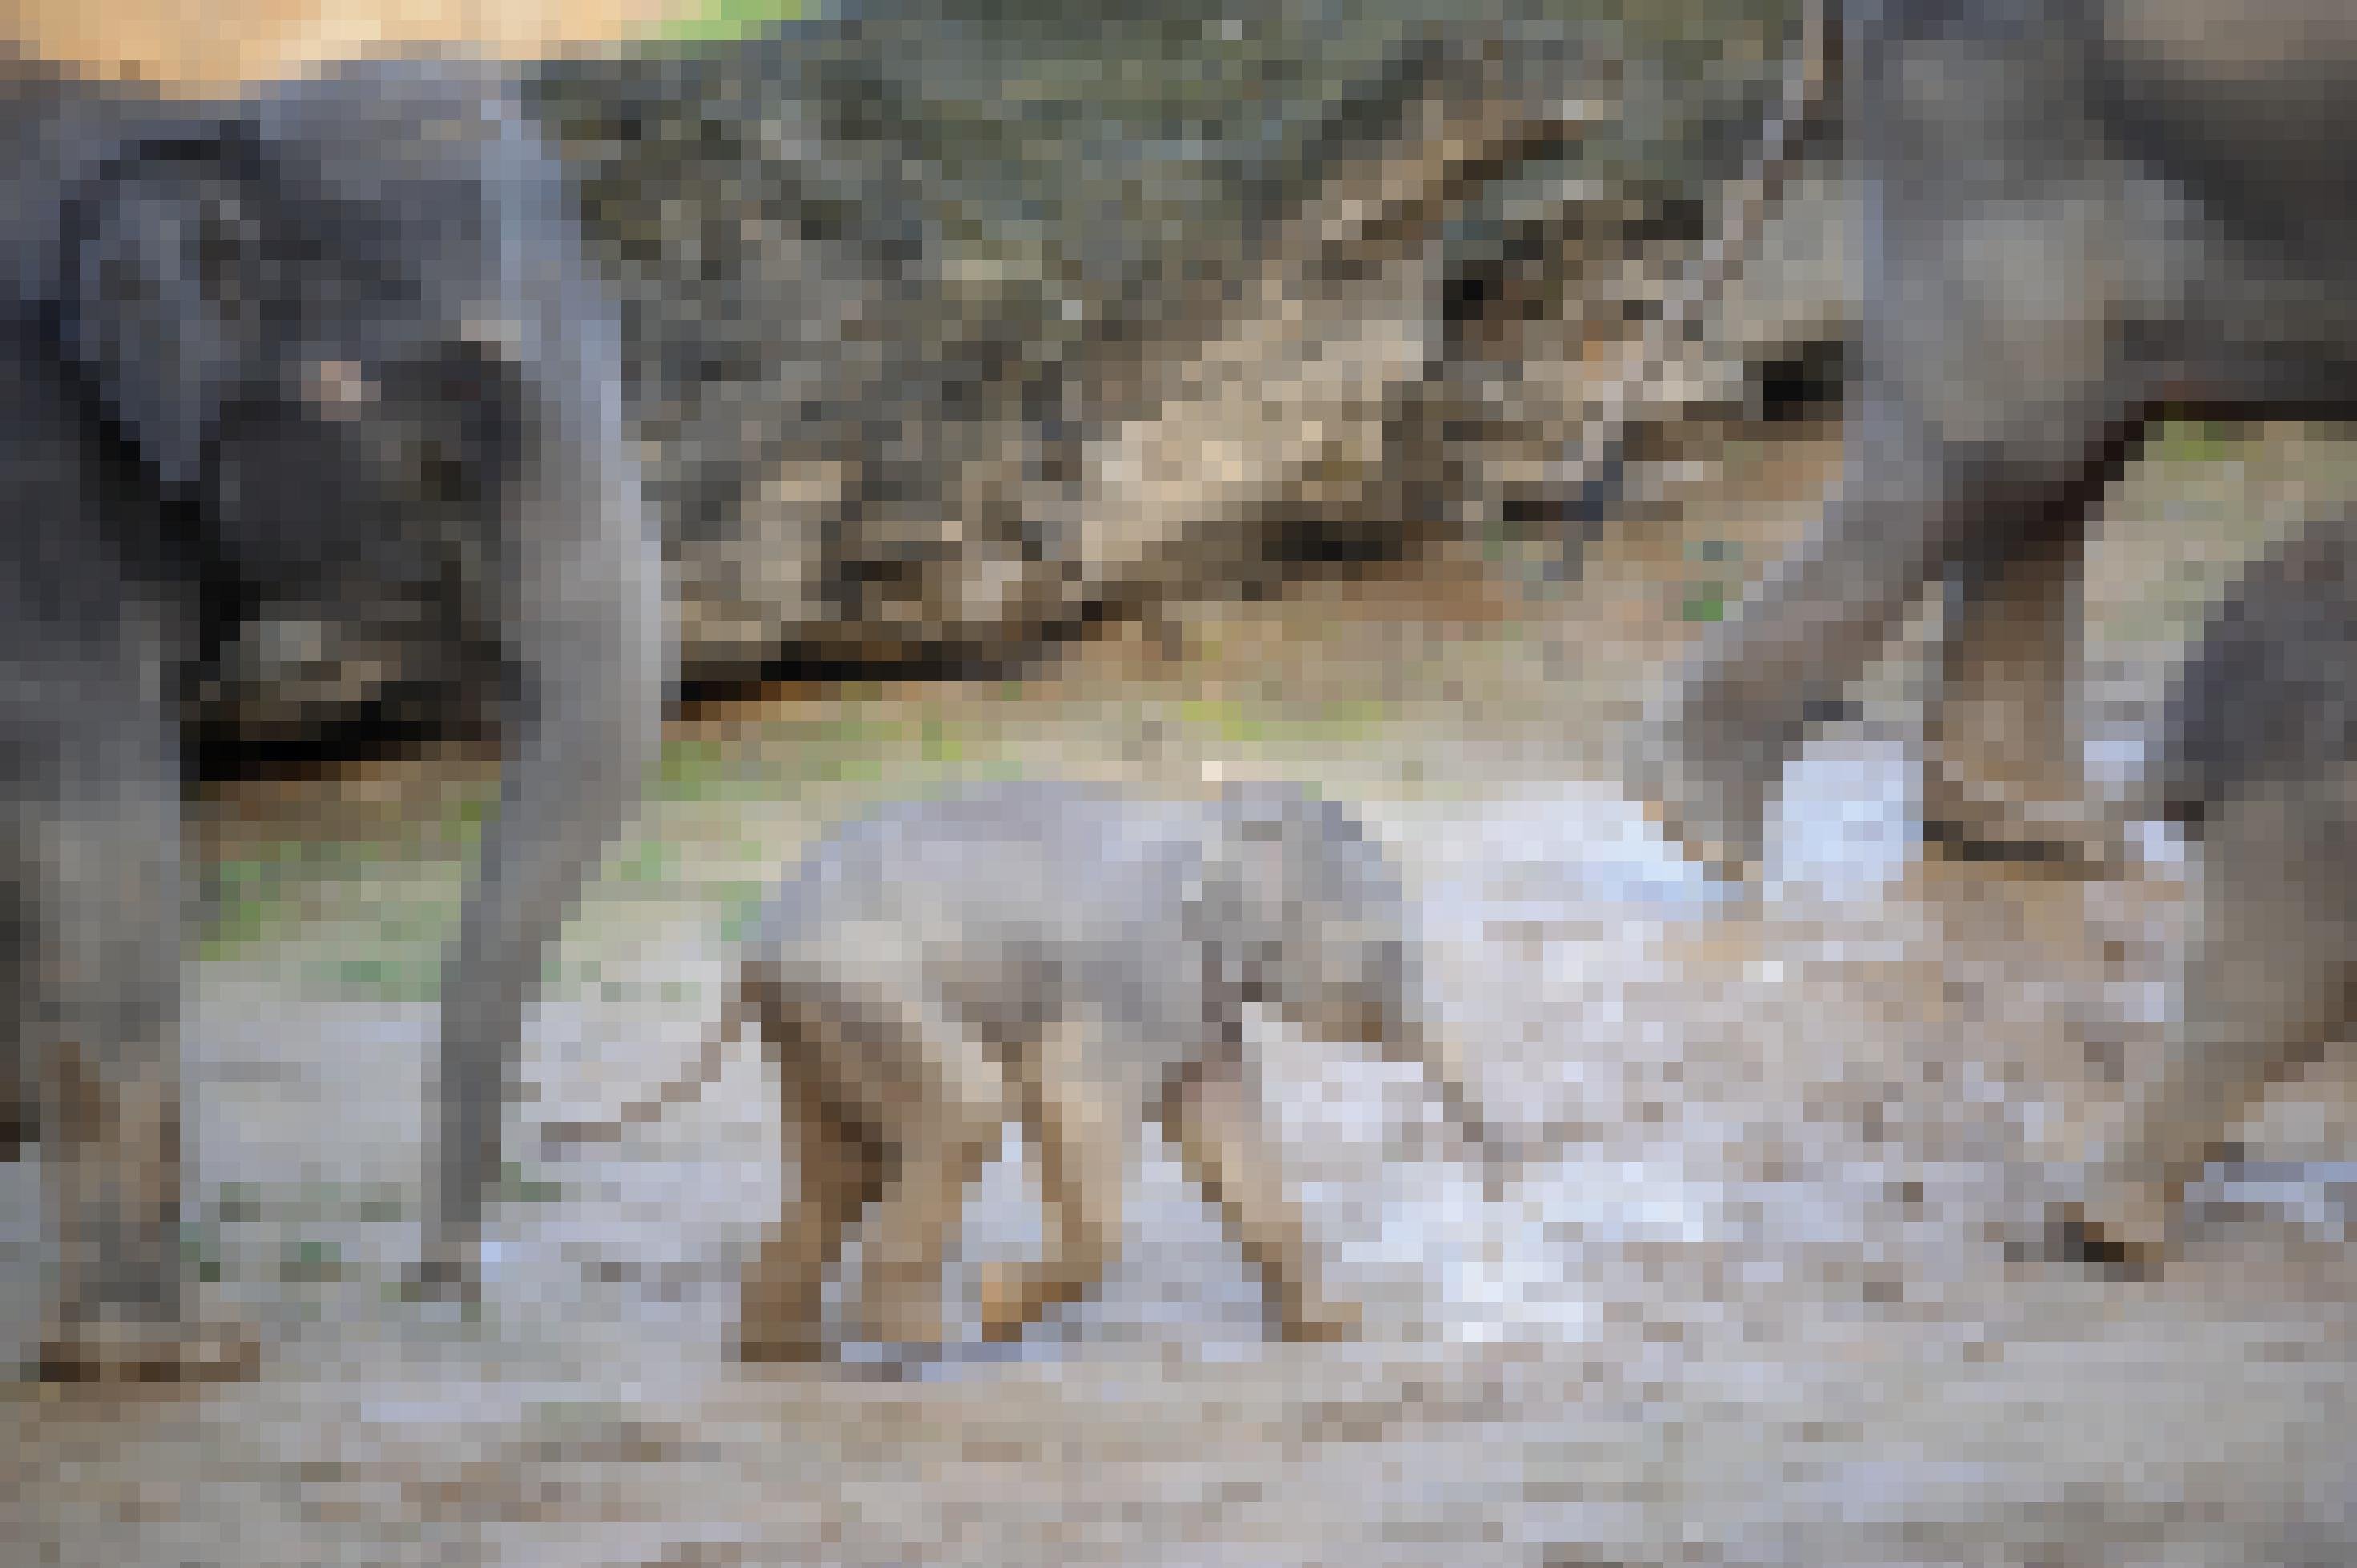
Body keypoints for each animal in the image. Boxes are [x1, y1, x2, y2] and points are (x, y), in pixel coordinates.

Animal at [2, 54, 664, 1377]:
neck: (195, 125)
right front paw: (172, 1354)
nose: (439, 1281)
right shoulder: (37, 496)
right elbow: (108, 848)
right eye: (468, 403)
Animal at [725, 778, 1499, 1358]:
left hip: (815, 1016)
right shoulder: (1140, 972)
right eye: (1391, 955)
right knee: (967, 1108)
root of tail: (758, 942)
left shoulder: (1199, 1002)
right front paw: (995, 1306)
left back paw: (784, 1353)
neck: (1215, 821)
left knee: (843, 1170)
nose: (1499, 1179)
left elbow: (1224, 1132)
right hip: (867, 986)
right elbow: (1066, 1088)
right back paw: (925, 1338)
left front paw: (1336, 1327)